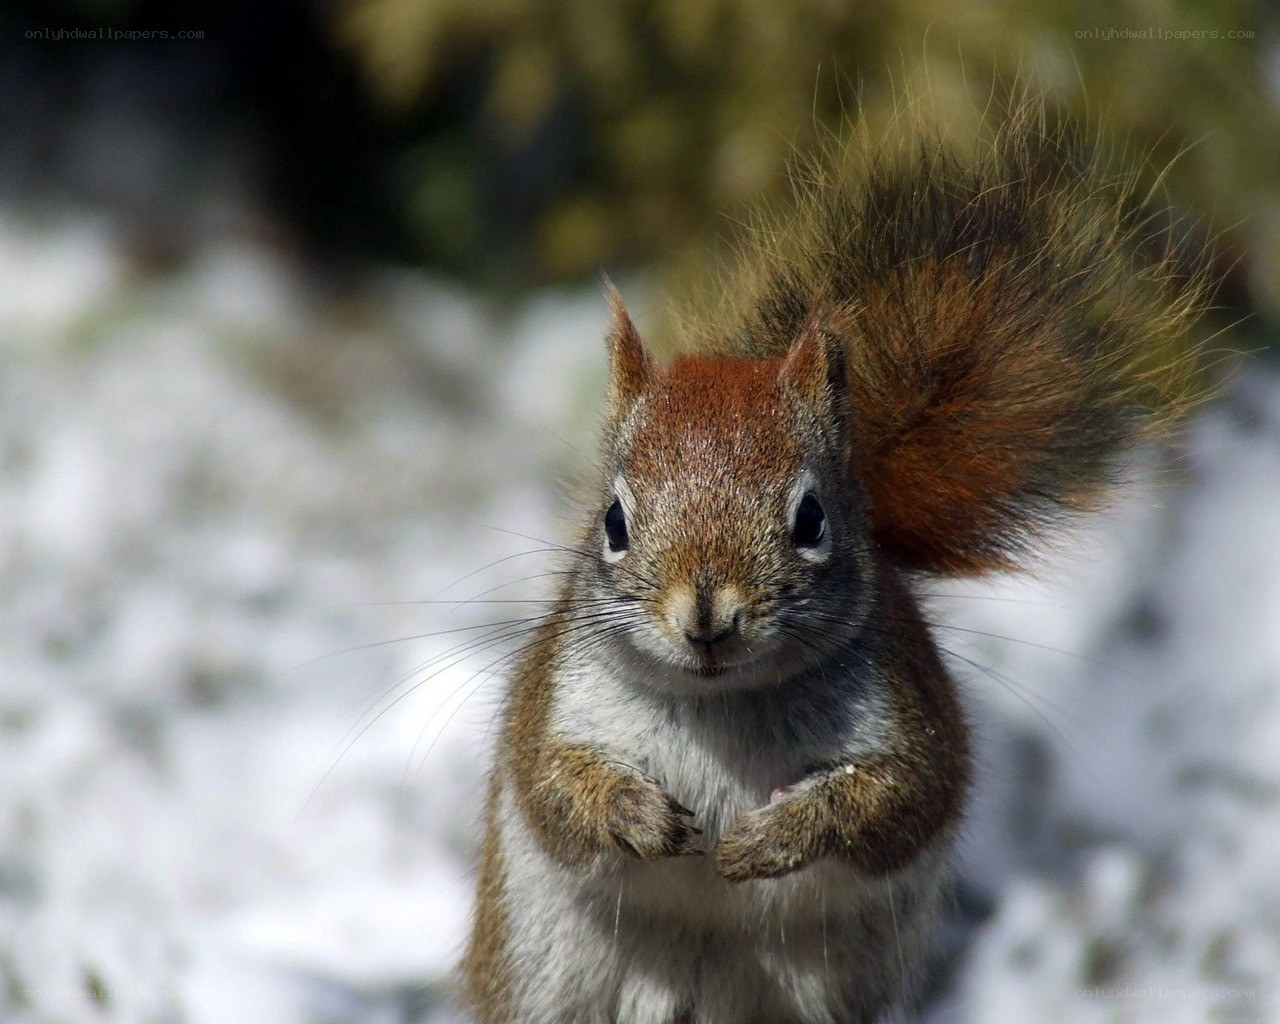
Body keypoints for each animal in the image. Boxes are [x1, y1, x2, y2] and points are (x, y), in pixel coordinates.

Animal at [460, 99, 1207, 1024]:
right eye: (613, 521)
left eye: (810, 518)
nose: (706, 616)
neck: (725, 707)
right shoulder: (553, 705)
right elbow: (555, 788)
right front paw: (639, 815)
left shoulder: (913, 722)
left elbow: (891, 802)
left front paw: (774, 837)